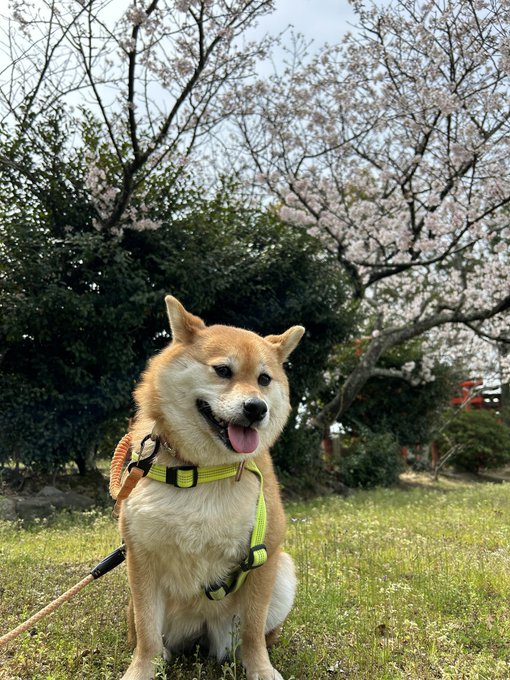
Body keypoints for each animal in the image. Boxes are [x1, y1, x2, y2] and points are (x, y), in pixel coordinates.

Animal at [119, 298, 302, 680]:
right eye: (223, 371)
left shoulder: (265, 550)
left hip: (280, 573)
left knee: (257, 633)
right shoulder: (140, 555)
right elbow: (146, 632)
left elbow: (253, 631)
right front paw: (141, 669)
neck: (203, 471)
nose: (256, 408)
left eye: (264, 379)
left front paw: (260, 668)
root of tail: (198, 632)